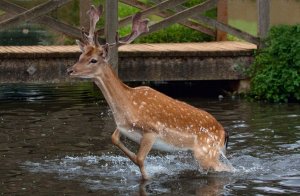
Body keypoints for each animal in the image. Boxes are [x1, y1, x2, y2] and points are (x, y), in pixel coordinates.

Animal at [68, 4, 231, 180]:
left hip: (206, 152)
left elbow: (139, 159)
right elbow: (114, 139)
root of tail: (224, 133)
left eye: (93, 60)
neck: (125, 106)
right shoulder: (123, 127)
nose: (70, 70)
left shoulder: (152, 131)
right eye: (80, 55)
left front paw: (148, 175)